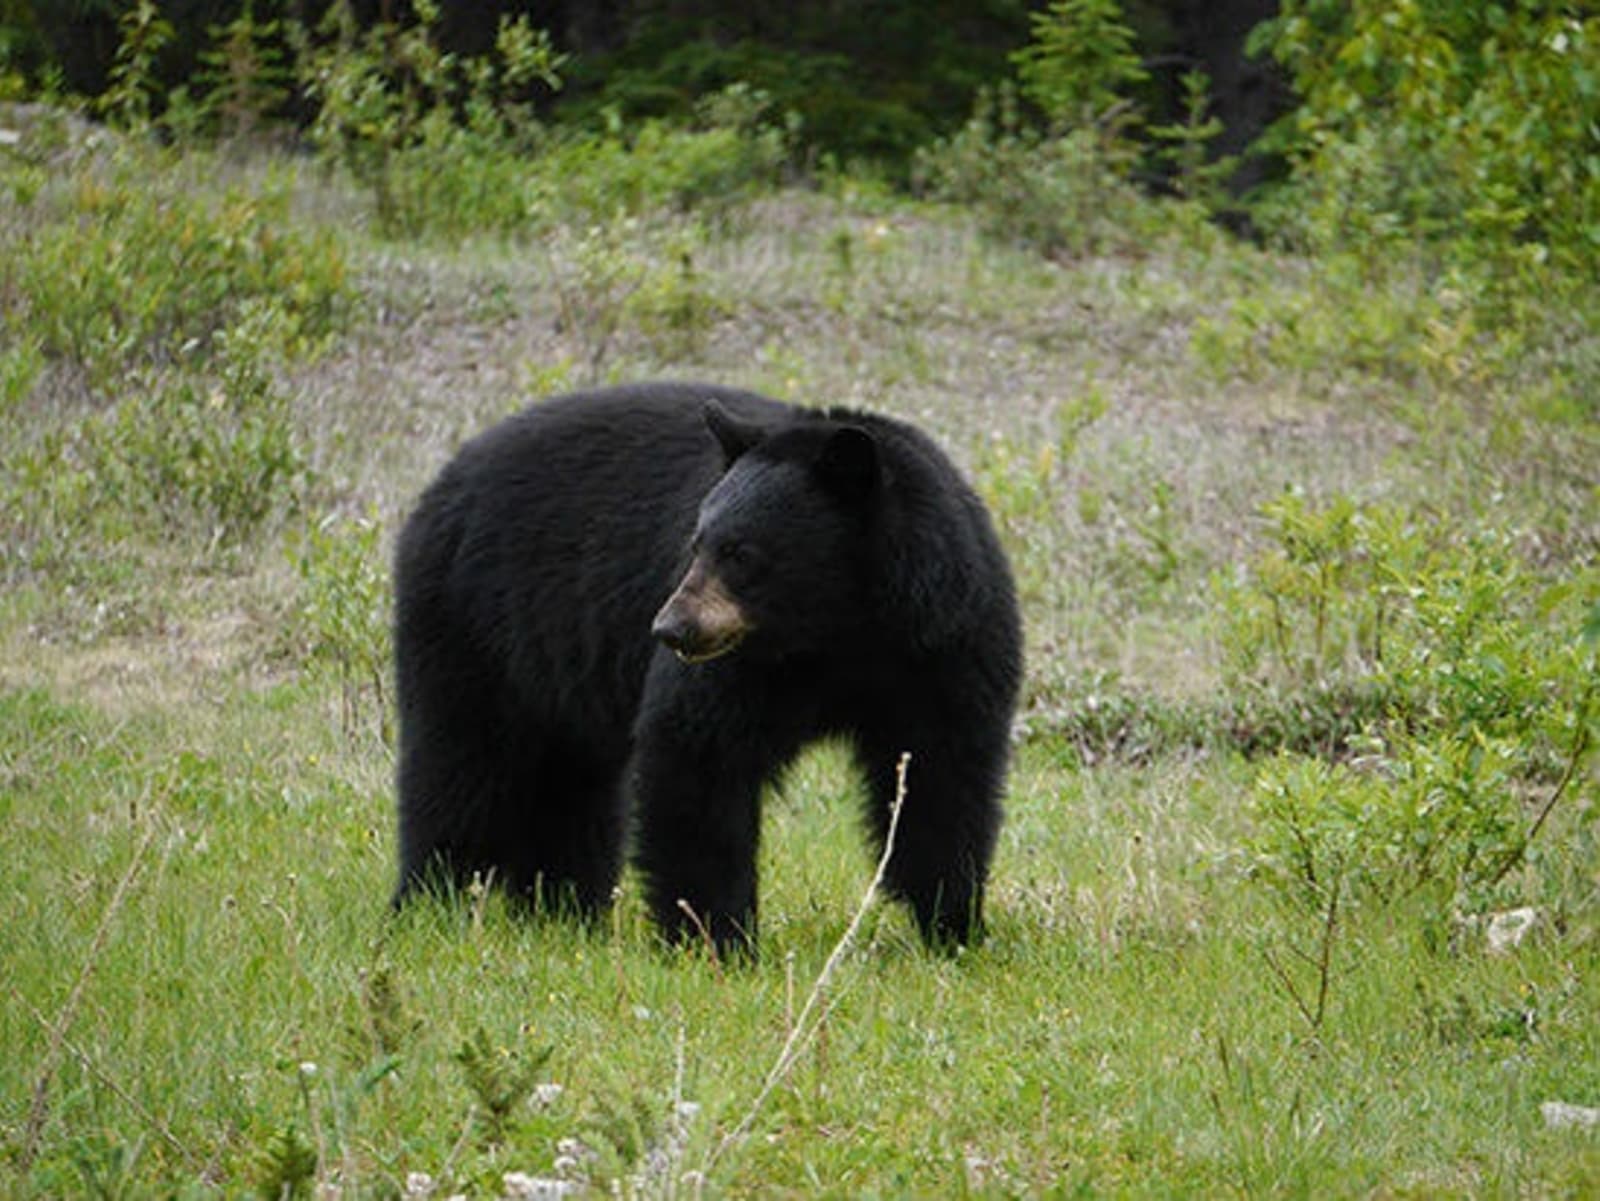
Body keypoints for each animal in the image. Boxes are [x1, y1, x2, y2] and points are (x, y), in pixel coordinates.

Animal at [392, 381, 1022, 956]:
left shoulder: (947, 646)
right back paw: (427, 904)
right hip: (474, 625)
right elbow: (698, 754)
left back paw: (562, 910)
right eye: (696, 543)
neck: (838, 634)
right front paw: (716, 939)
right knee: (459, 771)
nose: (670, 628)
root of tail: (444, 481)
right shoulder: (740, 669)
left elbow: (943, 776)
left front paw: (953, 928)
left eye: (741, 552)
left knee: (569, 786)